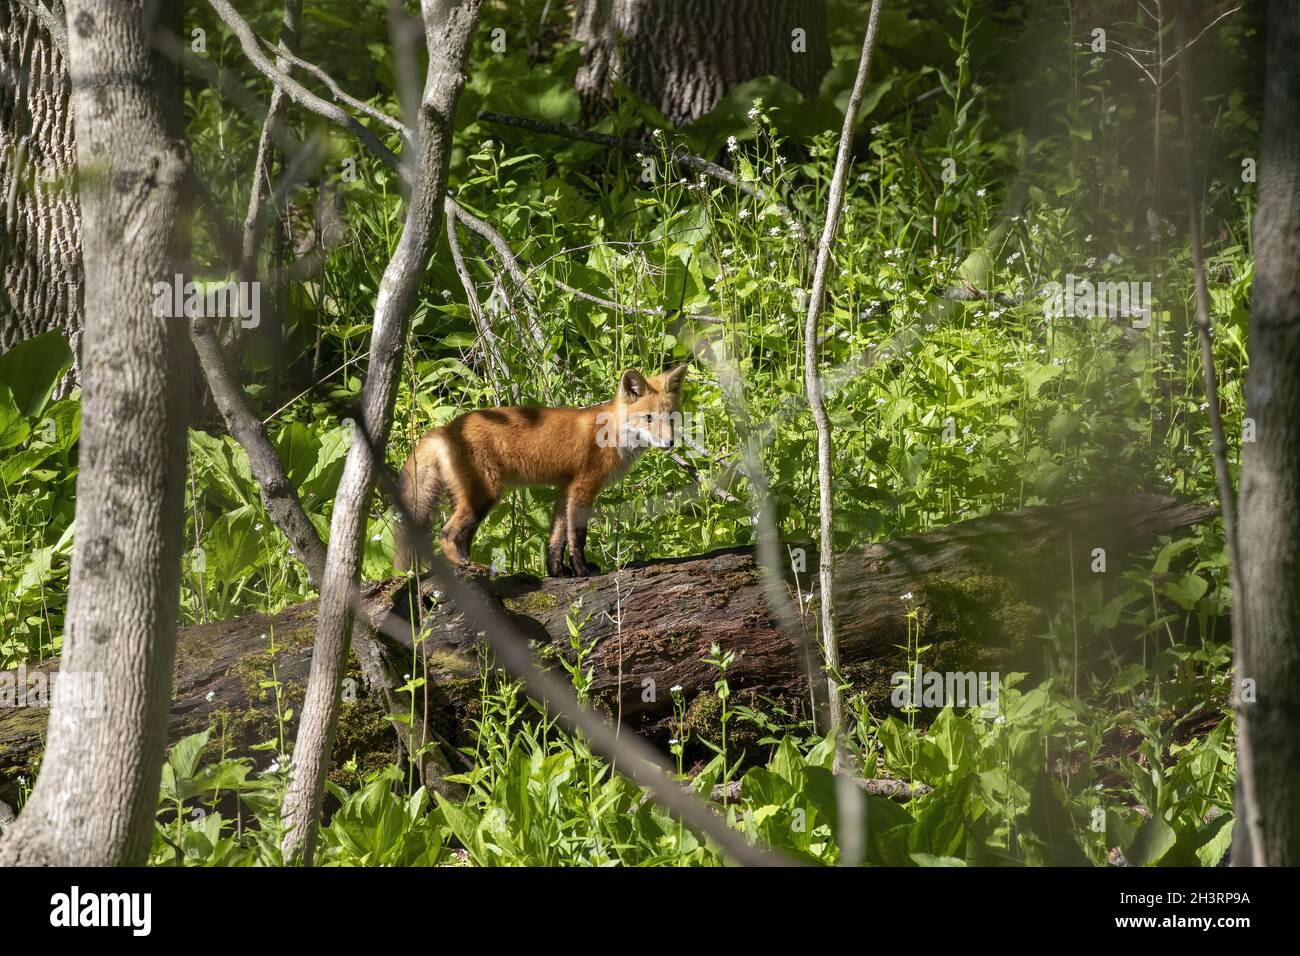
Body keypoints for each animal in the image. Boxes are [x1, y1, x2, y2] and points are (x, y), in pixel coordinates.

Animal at [395, 364, 691, 574]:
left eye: (670, 417)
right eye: (649, 418)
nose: (670, 443)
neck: (612, 432)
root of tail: (446, 428)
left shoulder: (564, 489)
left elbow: (556, 538)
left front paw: (557, 572)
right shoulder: (583, 487)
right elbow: (577, 537)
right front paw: (583, 570)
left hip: (470, 499)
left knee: (461, 536)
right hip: (483, 495)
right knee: (447, 534)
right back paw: (466, 566)